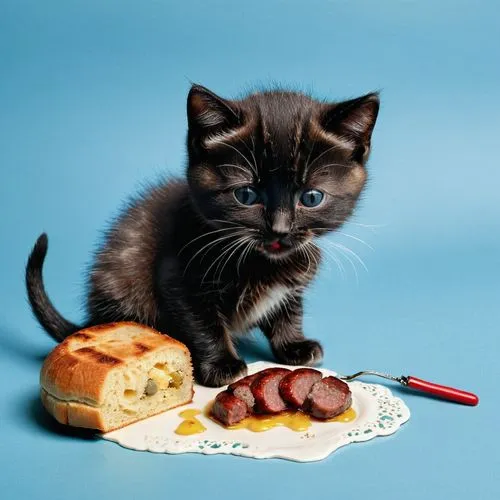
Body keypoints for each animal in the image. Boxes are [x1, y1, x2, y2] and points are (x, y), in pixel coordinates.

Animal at [26, 84, 378, 386]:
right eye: (246, 195)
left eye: (311, 198)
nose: (279, 229)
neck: (262, 261)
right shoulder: (179, 274)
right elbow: (202, 321)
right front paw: (223, 365)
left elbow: (288, 310)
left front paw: (293, 345)